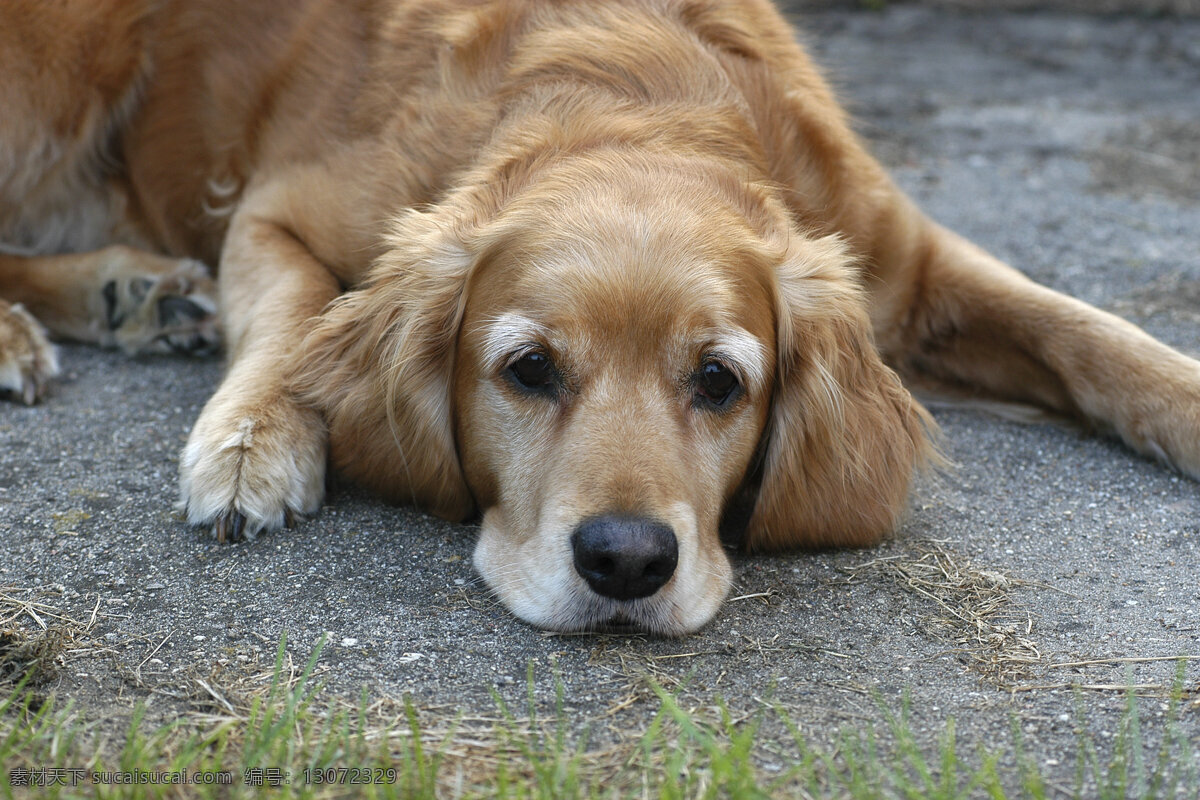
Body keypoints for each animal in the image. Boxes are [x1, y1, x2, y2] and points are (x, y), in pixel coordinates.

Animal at [4, 1, 1195, 638]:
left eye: (719, 381)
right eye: (527, 369)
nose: (626, 562)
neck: (642, 98)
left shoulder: (904, 258)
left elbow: (1090, 334)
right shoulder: (272, 206)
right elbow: (295, 317)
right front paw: (255, 440)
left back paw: (135, 294)